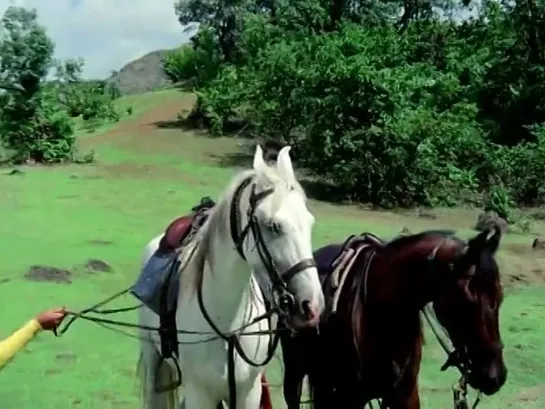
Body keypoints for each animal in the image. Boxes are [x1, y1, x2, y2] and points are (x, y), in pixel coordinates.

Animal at [136, 145, 326, 408]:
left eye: (310, 223)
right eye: (273, 226)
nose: (312, 305)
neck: (228, 329)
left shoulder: (249, 393)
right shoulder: (199, 394)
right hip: (153, 356)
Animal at [280, 228, 506, 406]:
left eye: (500, 298)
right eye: (467, 301)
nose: (495, 375)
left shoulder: (405, 395)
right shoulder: (350, 396)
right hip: (297, 372)